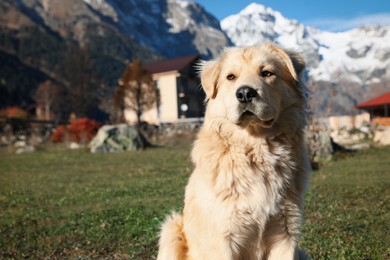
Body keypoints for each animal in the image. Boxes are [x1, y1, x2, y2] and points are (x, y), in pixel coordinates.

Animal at [157, 43, 310, 258]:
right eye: (231, 77)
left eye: (267, 73)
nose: (245, 93)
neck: (256, 150)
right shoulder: (223, 238)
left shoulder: (286, 233)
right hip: (171, 230)